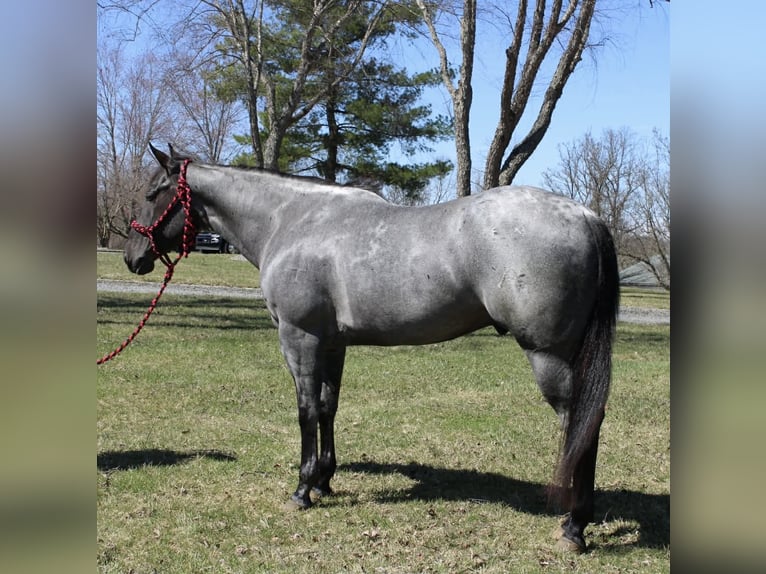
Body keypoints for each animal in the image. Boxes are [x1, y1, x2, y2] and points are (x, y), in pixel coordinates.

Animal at [124, 144, 619, 553]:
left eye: (151, 193)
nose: (132, 258)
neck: (292, 219)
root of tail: (586, 216)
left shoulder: (298, 338)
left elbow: (305, 409)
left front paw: (302, 490)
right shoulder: (332, 344)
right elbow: (328, 407)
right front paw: (325, 481)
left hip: (549, 355)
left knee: (580, 422)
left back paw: (574, 526)